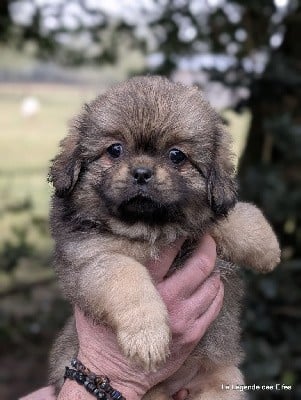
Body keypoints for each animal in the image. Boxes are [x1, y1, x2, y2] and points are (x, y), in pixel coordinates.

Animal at [47, 76, 278, 398]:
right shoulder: (92, 259)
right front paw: (148, 337)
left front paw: (268, 247)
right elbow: (127, 278)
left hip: (223, 383)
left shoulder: (196, 225)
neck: (150, 230)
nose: (142, 172)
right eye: (115, 150)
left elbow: (235, 216)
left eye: (176, 155)